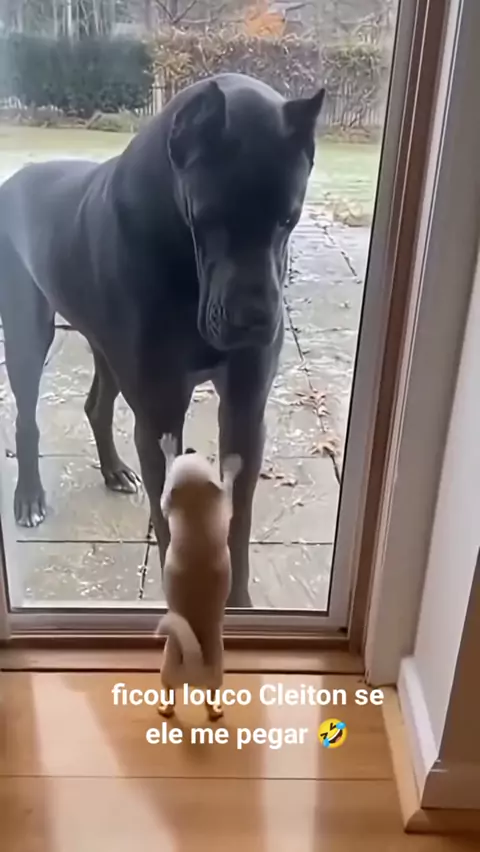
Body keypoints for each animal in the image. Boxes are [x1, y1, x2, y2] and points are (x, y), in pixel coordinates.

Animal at [0, 73, 325, 606]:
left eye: (287, 218)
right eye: (211, 218)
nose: (254, 318)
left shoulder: (245, 408)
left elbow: (238, 522)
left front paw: (239, 604)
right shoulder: (159, 417)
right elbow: (170, 525)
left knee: (97, 404)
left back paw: (114, 471)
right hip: (28, 333)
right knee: (27, 419)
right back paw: (29, 497)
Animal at [156, 434, 241, 721]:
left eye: (196, 456)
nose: (190, 447)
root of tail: (194, 670)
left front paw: (168, 449)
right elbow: (227, 488)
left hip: (168, 667)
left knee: (170, 692)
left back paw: (166, 708)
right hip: (215, 673)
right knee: (209, 695)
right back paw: (214, 711)